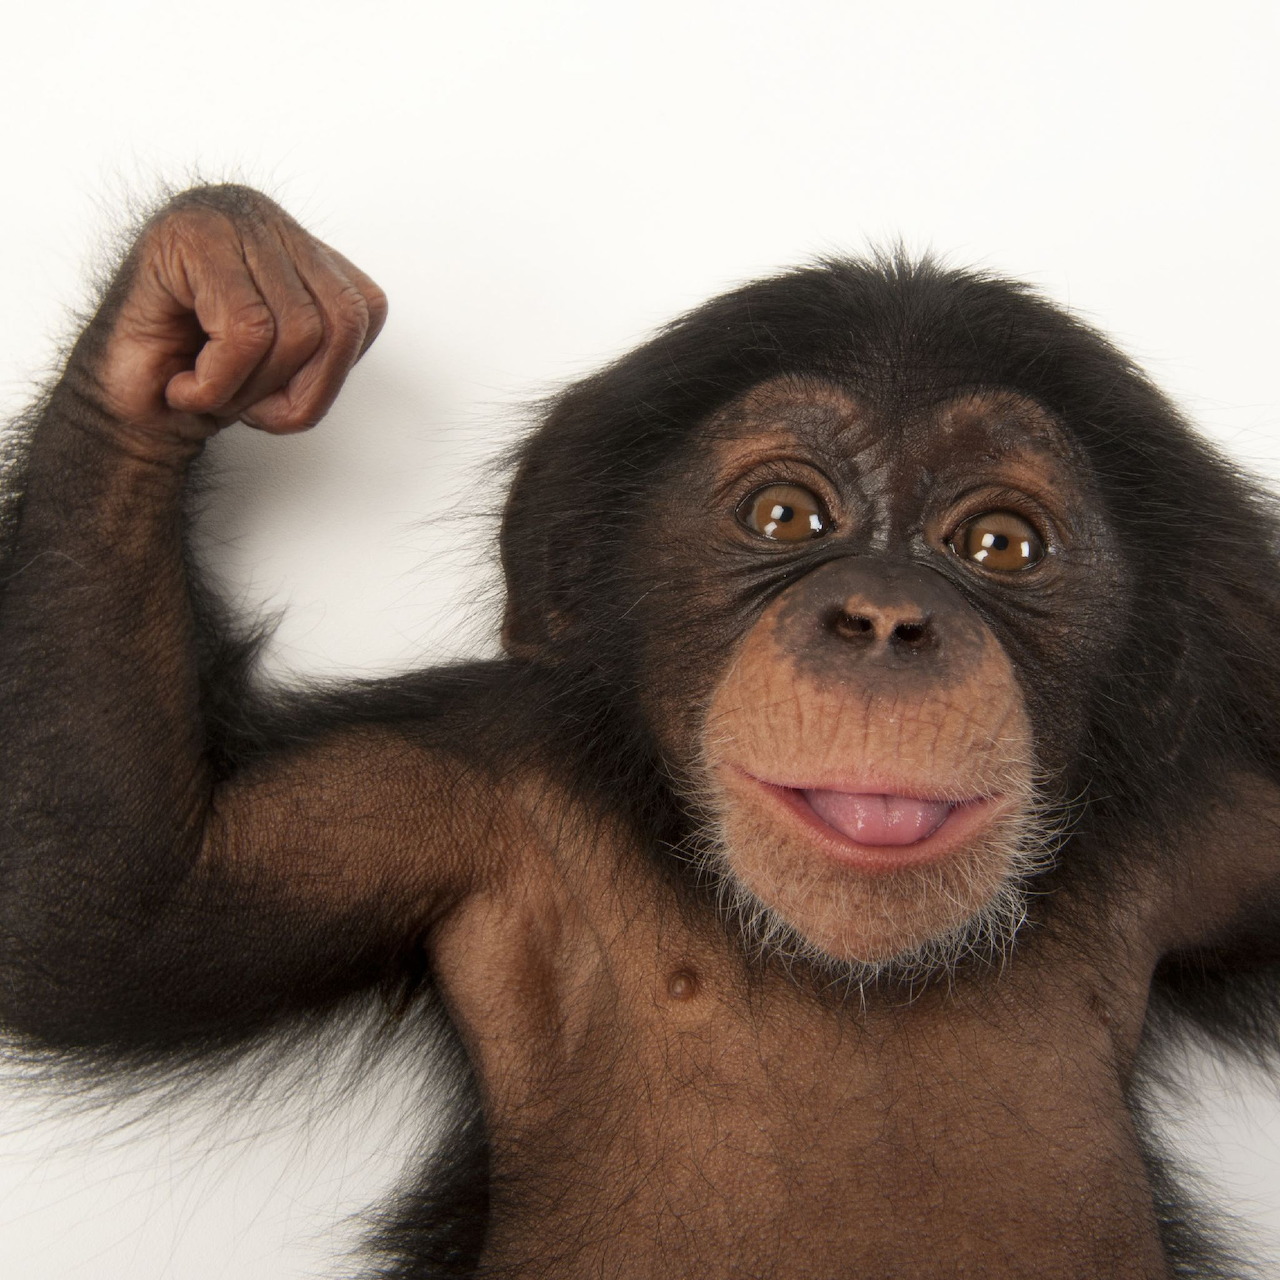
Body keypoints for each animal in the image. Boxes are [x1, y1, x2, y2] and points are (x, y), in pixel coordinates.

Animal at [1, 184, 1278, 1279]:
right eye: (784, 514)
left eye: (999, 545)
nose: (882, 617)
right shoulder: (454, 790)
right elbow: (123, 907)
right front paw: (193, 299)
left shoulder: (1206, 833)